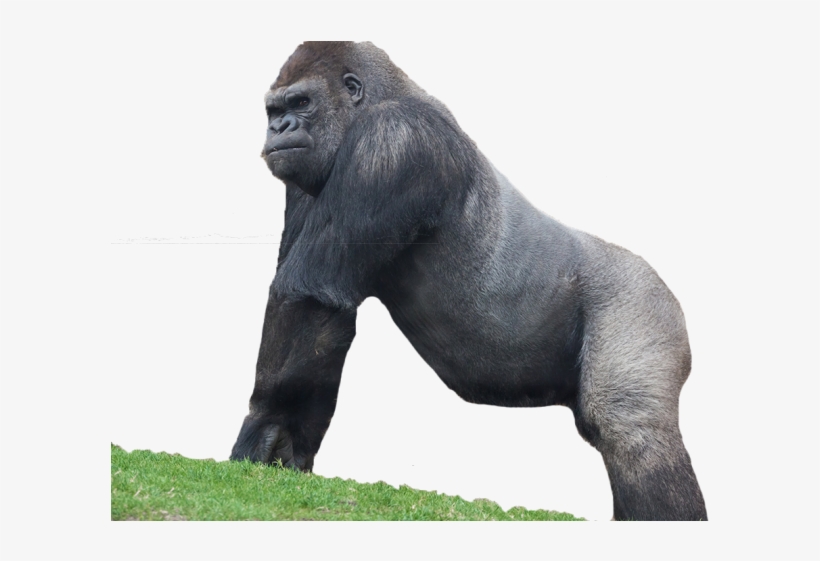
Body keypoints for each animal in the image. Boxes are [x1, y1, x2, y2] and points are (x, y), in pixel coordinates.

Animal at [230, 41, 707, 521]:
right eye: (274, 110)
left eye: (301, 103)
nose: (279, 127)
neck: (383, 97)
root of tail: (671, 293)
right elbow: (320, 317)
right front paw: (288, 442)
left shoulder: (395, 139)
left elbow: (311, 296)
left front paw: (267, 428)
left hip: (644, 303)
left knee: (631, 432)